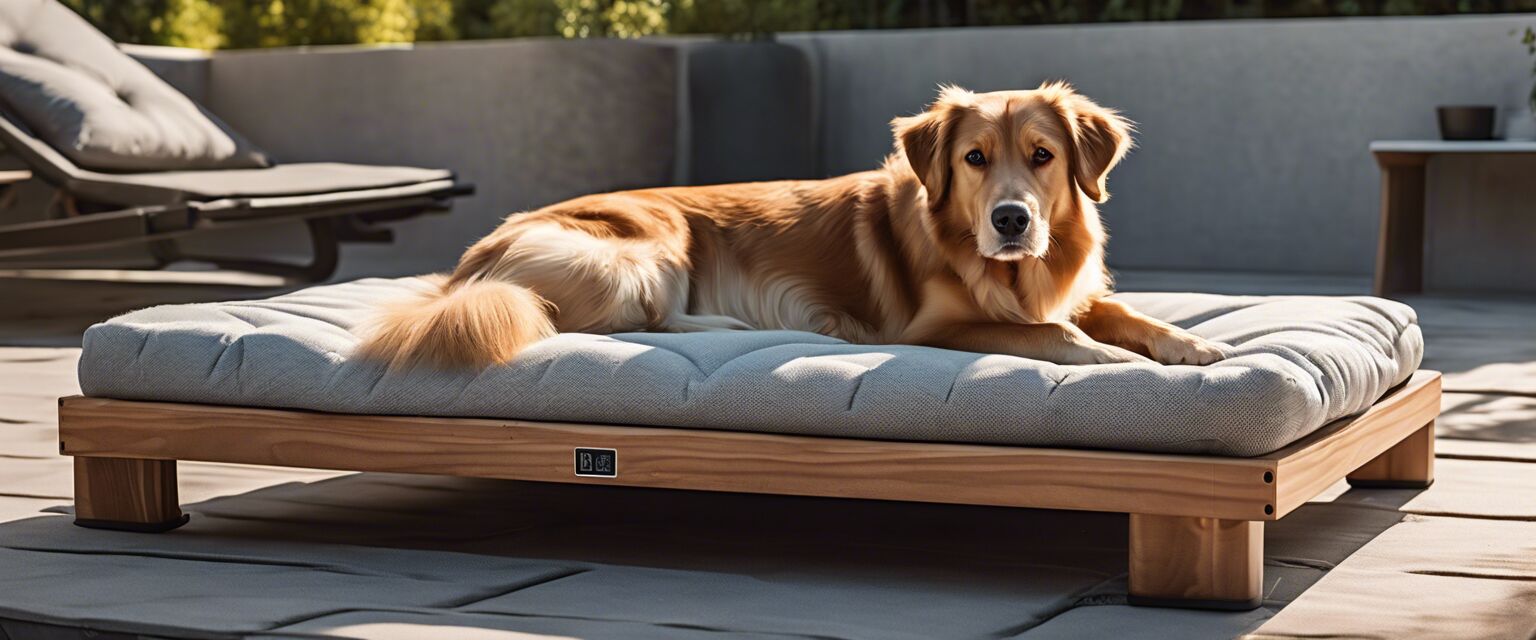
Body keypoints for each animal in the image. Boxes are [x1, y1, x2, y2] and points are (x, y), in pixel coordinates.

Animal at [359, 80, 1222, 368]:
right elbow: (1052, 333)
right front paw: (1113, 359)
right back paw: (742, 327)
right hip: (651, 244)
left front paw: (1192, 344)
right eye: (975, 159)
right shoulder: (933, 328)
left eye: (1042, 156)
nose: (1012, 221)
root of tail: (466, 270)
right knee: (629, 321)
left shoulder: (1076, 288)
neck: (1016, 267)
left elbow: (1122, 312)